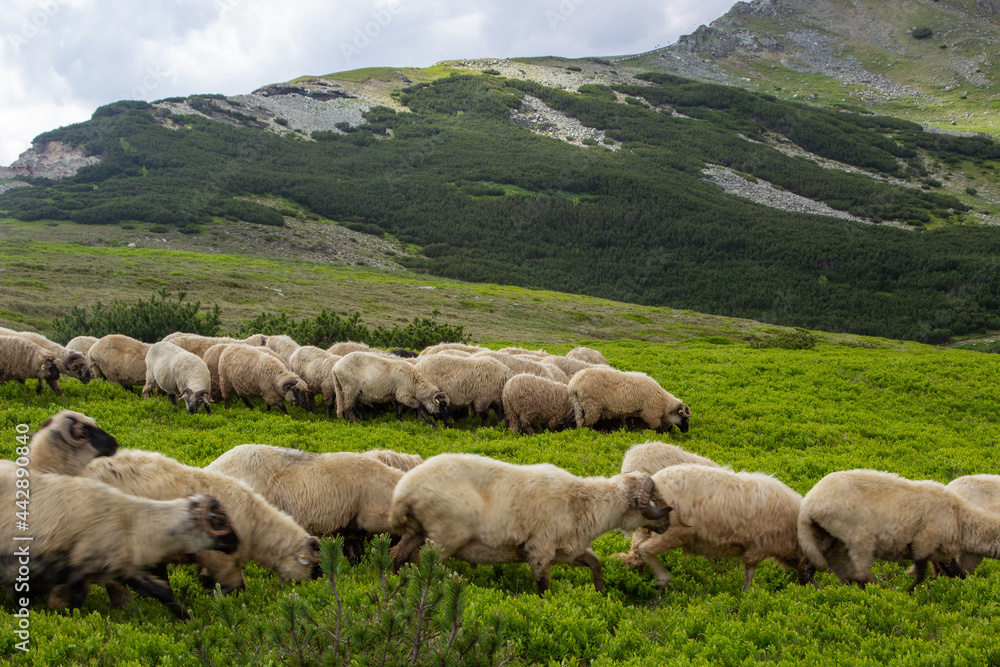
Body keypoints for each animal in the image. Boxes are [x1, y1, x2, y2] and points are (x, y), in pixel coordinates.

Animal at [0, 471, 238, 618]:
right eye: (219, 521)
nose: (237, 543)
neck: (133, 521)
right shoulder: (80, 572)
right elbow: (76, 604)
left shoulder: (125, 567)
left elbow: (162, 592)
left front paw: (187, 618)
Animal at [388, 453, 676, 594]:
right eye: (654, 498)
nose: (668, 523)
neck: (581, 503)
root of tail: (405, 490)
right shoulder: (540, 549)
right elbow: (542, 584)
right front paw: (543, 605)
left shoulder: (567, 551)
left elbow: (595, 564)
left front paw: (600, 593)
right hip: (444, 537)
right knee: (424, 563)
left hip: (416, 532)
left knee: (397, 556)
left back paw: (393, 582)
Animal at [612, 464, 809, 591]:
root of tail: (654, 481)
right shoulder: (759, 547)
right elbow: (749, 574)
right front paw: (746, 595)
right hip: (673, 533)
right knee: (646, 550)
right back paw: (663, 580)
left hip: (648, 530)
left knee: (637, 552)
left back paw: (641, 576)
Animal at [797, 469, 1000, 589]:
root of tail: (810, 500)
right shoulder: (929, 544)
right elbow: (946, 574)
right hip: (853, 532)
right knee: (857, 571)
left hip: (827, 533)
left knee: (807, 564)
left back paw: (812, 589)